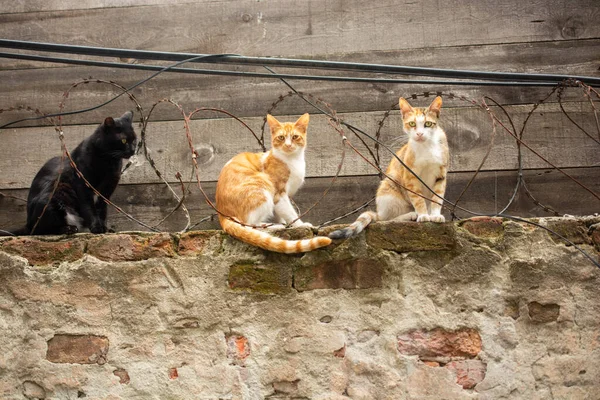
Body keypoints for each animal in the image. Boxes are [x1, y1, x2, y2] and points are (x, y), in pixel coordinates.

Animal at [5, 111, 137, 236]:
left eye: (134, 140)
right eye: (124, 140)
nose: (132, 150)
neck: (108, 161)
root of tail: (28, 223)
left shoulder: (106, 192)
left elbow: (102, 210)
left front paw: (104, 227)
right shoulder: (83, 185)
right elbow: (89, 208)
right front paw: (97, 227)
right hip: (53, 195)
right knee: (40, 230)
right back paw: (68, 229)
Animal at [213, 112, 330, 253]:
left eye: (295, 137)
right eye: (281, 137)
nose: (288, 145)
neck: (293, 160)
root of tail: (223, 215)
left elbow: (281, 213)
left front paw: (287, 224)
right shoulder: (279, 194)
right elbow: (290, 213)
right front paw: (300, 225)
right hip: (262, 187)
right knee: (250, 224)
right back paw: (272, 226)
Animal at [328, 96, 450, 241]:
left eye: (428, 124)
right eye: (412, 124)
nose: (419, 134)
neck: (427, 147)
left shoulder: (441, 174)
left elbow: (437, 198)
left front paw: (435, 215)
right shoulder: (410, 176)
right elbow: (418, 198)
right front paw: (423, 215)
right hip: (390, 185)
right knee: (385, 219)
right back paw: (411, 215)